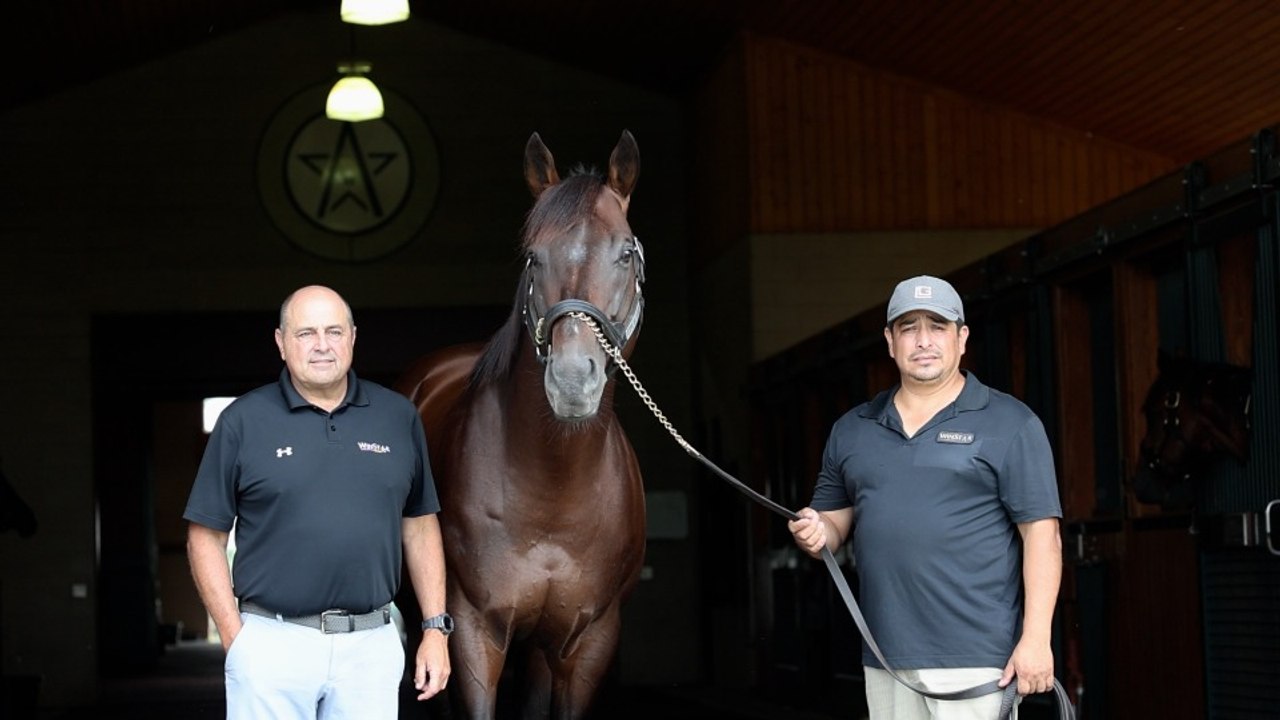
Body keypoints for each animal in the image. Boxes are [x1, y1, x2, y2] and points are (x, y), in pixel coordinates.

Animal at [395, 130, 647, 719]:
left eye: (626, 252)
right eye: (534, 256)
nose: (573, 380)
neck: (555, 494)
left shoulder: (588, 644)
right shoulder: (473, 634)